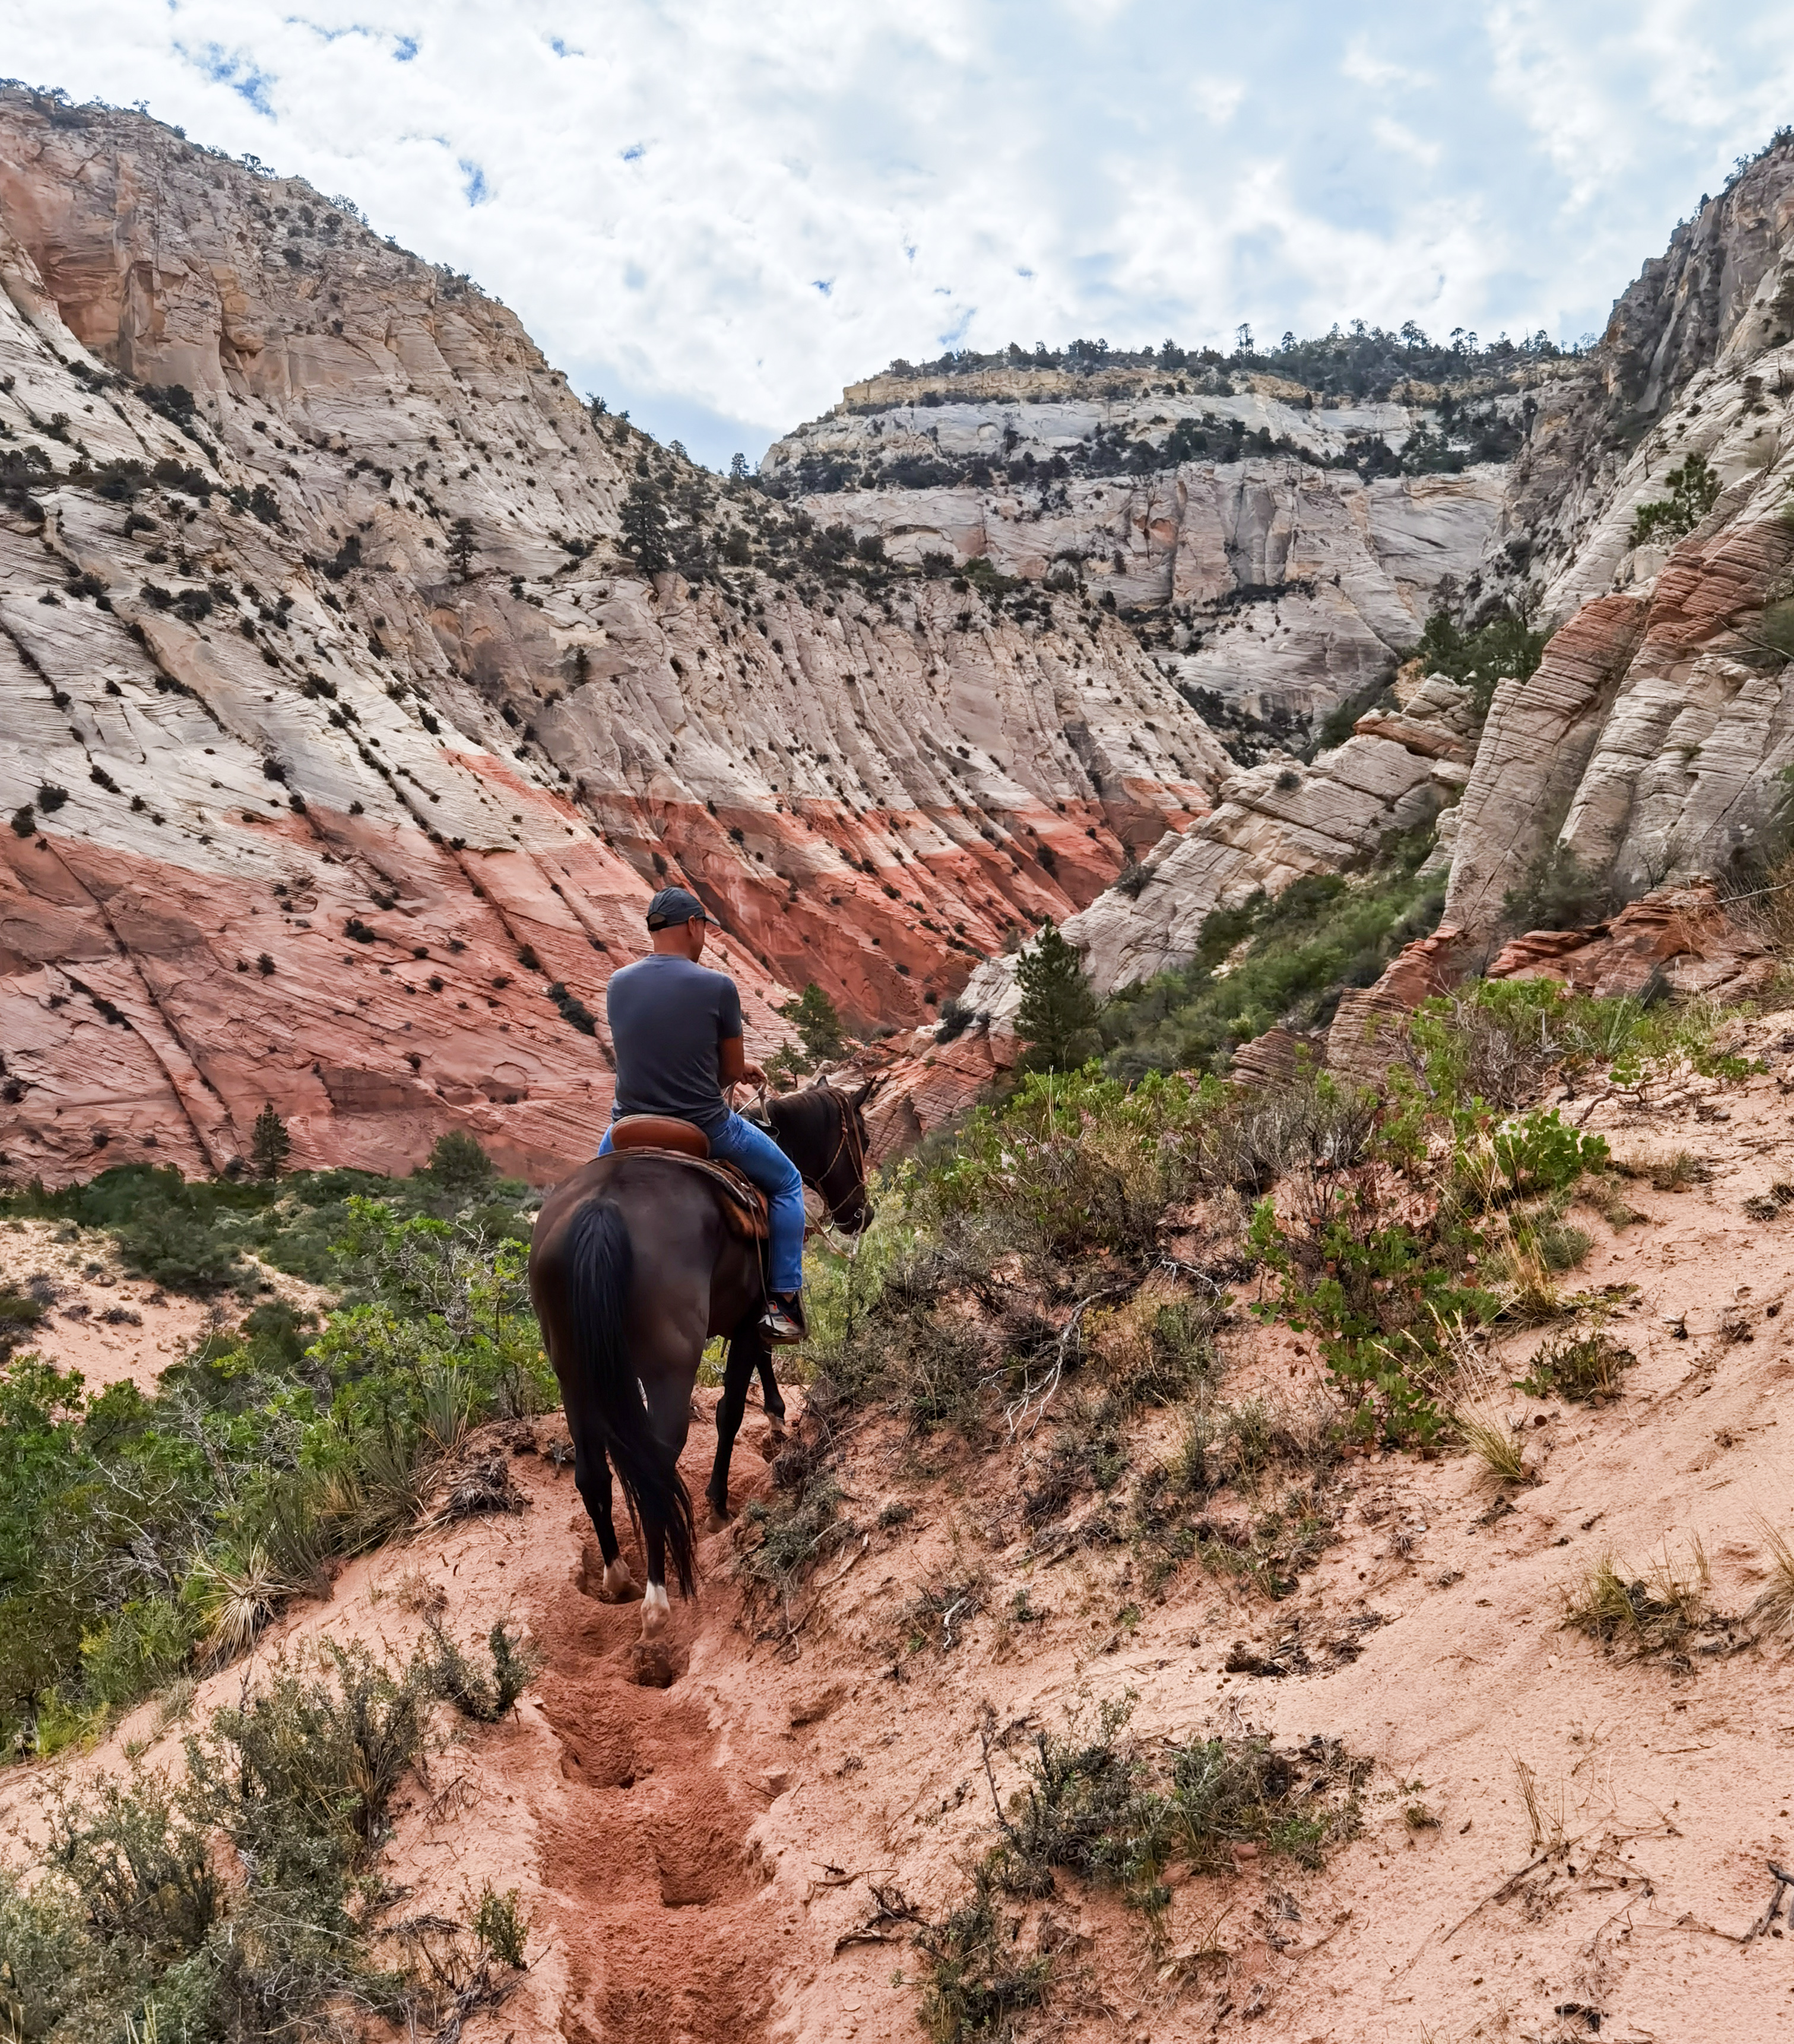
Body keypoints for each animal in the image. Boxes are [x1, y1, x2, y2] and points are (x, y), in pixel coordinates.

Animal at [528, 1080, 873, 1634]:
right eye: (862, 1136)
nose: (862, 1213)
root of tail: (601, 1209)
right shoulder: (753, 1317)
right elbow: (731, 1408)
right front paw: (717, 1504)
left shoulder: (745, 1317)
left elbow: (761, 1365)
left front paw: (777, 1420)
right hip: (669, 1367)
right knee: (655, 1468)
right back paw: (656, 1599)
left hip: (572, 1370)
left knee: (592, 1471)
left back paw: (618, 1577)